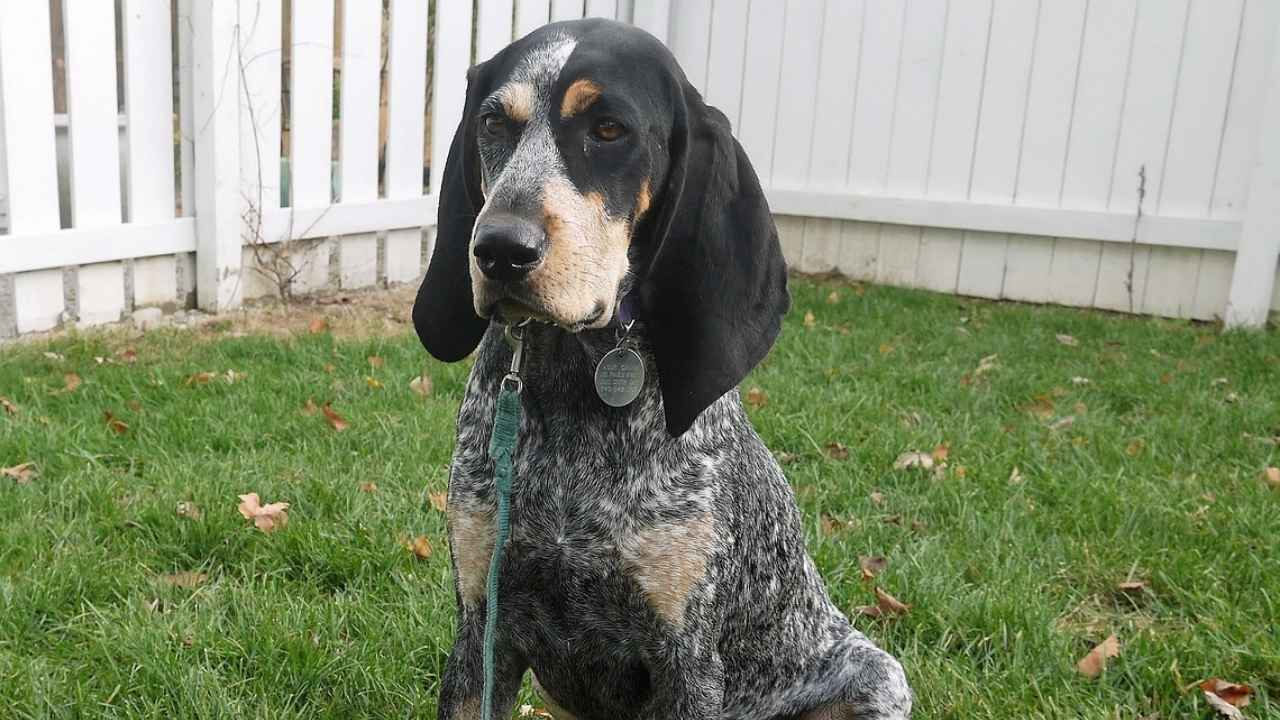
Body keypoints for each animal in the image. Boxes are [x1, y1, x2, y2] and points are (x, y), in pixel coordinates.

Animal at [412, 16, 911, 717]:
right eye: (493, 123)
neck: (571, 381)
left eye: (609, 129)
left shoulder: (687, 661)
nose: (499, 249)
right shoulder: (481, 630)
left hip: (879, 674)